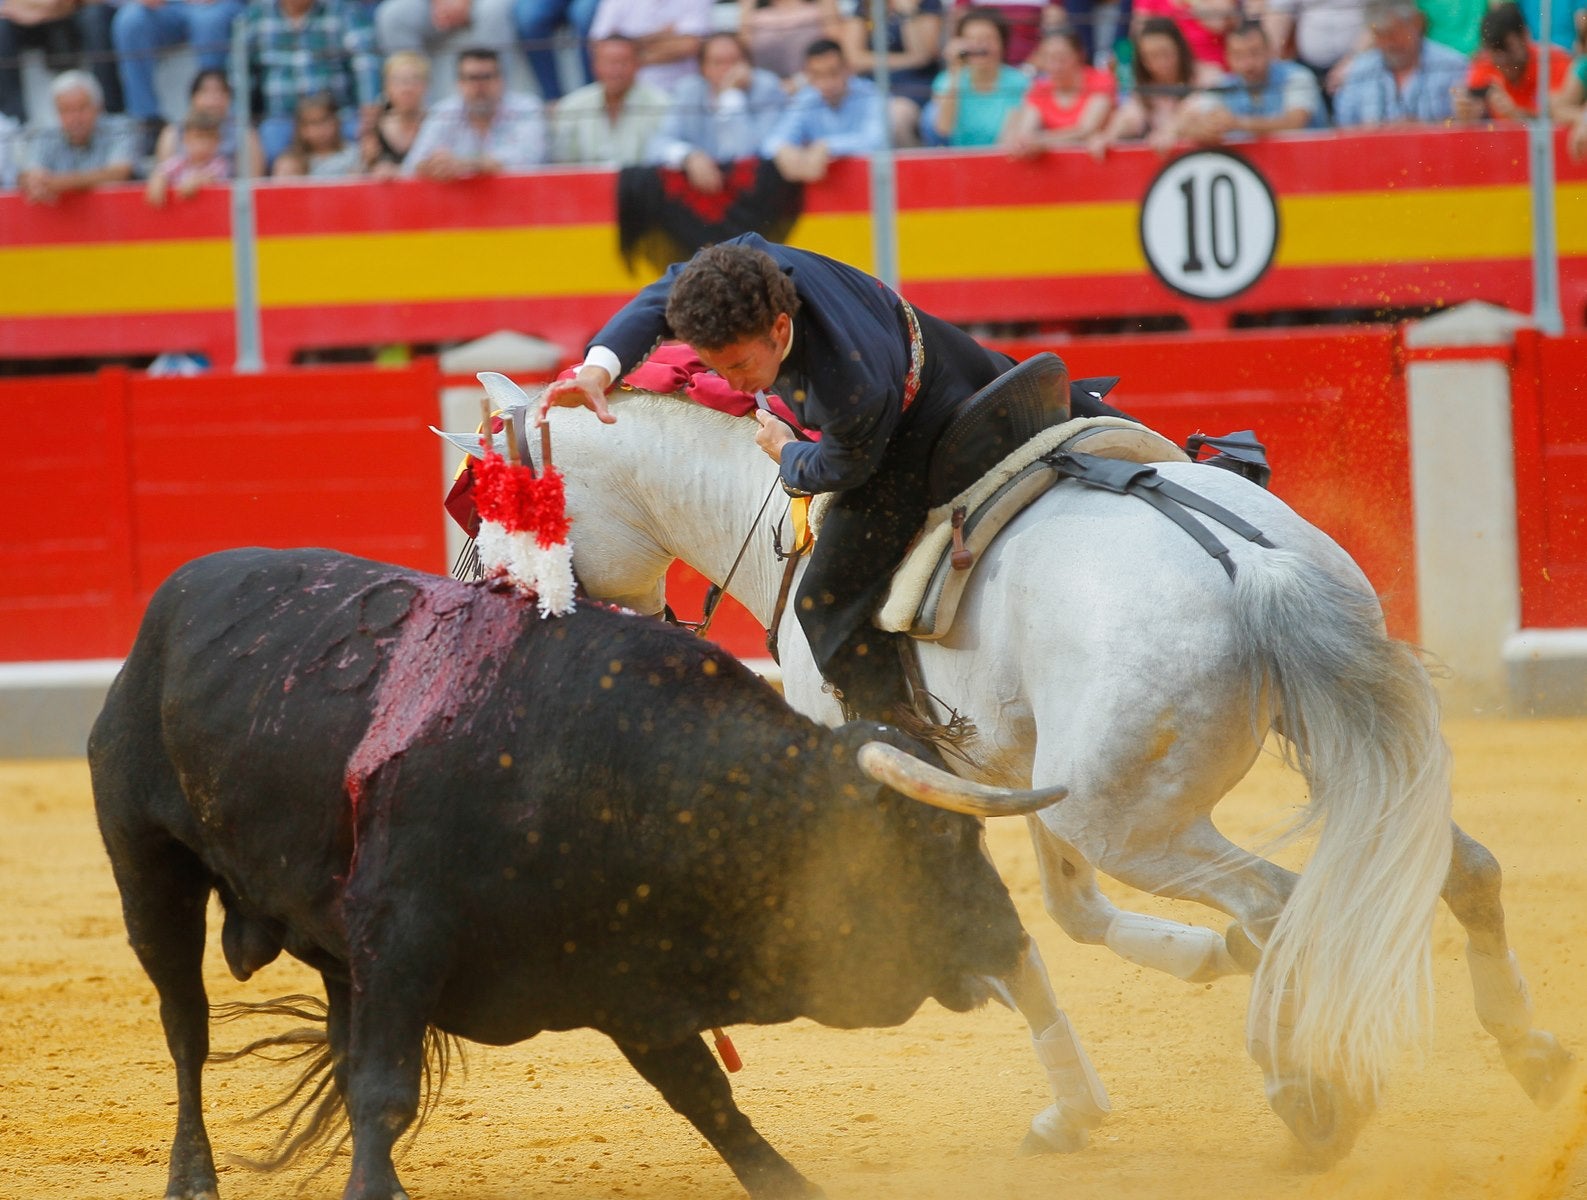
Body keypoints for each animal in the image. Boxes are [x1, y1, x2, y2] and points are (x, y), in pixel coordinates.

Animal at [90, 546, 1053, 1200]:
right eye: (931, 847)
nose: (1011, 942)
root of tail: (169, 601)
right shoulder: (403, 942)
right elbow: (385, 1090)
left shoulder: (634, 985)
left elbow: (711, 1103)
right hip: (149, 876)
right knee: (187, 1030)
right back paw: (192, 1174)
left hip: (327, 941)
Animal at [460, 384, 1574, 1161]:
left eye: (491, 512)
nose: (491, 607)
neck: (779, 525)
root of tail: (1254, 565)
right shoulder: (1016, 772)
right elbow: (1067, 917)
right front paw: (1192, 970)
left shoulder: (893, 797)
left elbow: (1007, 941)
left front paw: (1072, 1109)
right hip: (1307, 747)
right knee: (1453, 866)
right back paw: (1527, 1051)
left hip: (1132, 822)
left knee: (1279, 902)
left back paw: (1303, 1096)